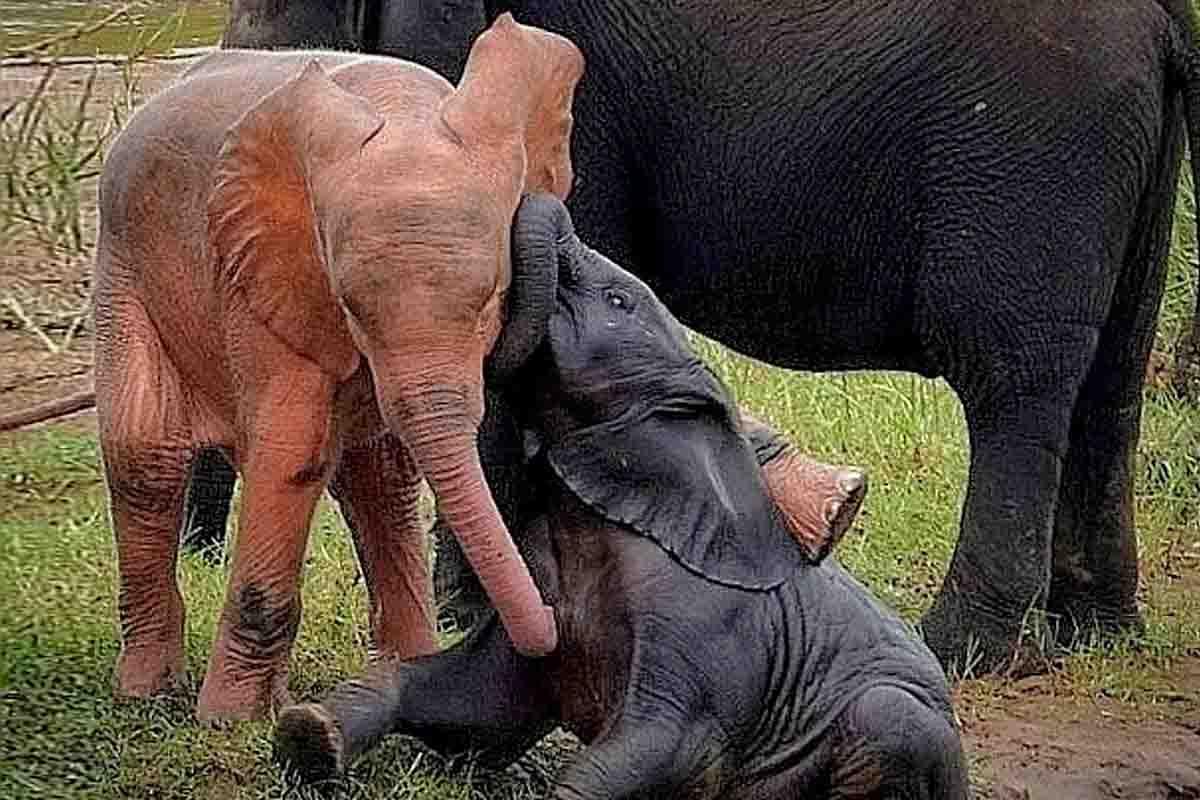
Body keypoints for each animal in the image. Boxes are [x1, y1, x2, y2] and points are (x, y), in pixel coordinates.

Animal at [87, 14, 588, 722]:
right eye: (350, 306)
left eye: (494, 298)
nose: (549, 635)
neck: (402, 110)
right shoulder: (264, 278)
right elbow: (292, 453)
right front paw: (229, 722)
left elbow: (377, 462)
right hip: (123, 268)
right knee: (145, 456)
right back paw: (149, 693)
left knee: (378, 478)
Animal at [202, 0, 1200, 674]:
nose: (205, 556)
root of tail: (1165, 27)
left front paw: (474, 613)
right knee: (1110, 379)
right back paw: (1097, 630)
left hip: (1035, 156)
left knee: (1013, 384)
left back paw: (965, 651)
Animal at [273, 195, 968, 800]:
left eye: (617, 299)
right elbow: (479, 702)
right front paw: (307, 737)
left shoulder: (710, 627)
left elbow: (667, 747)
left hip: (898, 721)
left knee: (883, 722)